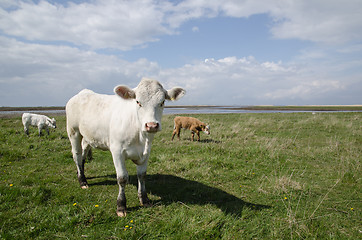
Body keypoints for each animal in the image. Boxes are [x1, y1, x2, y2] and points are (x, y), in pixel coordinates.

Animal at [65, 78, 185, 217]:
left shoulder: (146, 153)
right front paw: (121, 205)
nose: (151, 125)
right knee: (77, 155)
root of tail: (82, 93)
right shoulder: (117, 151)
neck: (140, 137)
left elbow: (142, 175)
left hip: (87, 136)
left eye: (162, 102)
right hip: (73, 132)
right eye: (138, 102)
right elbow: (122, 178)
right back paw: (82, 181)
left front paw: (144, 199)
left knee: (83, 154)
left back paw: (82, 174)